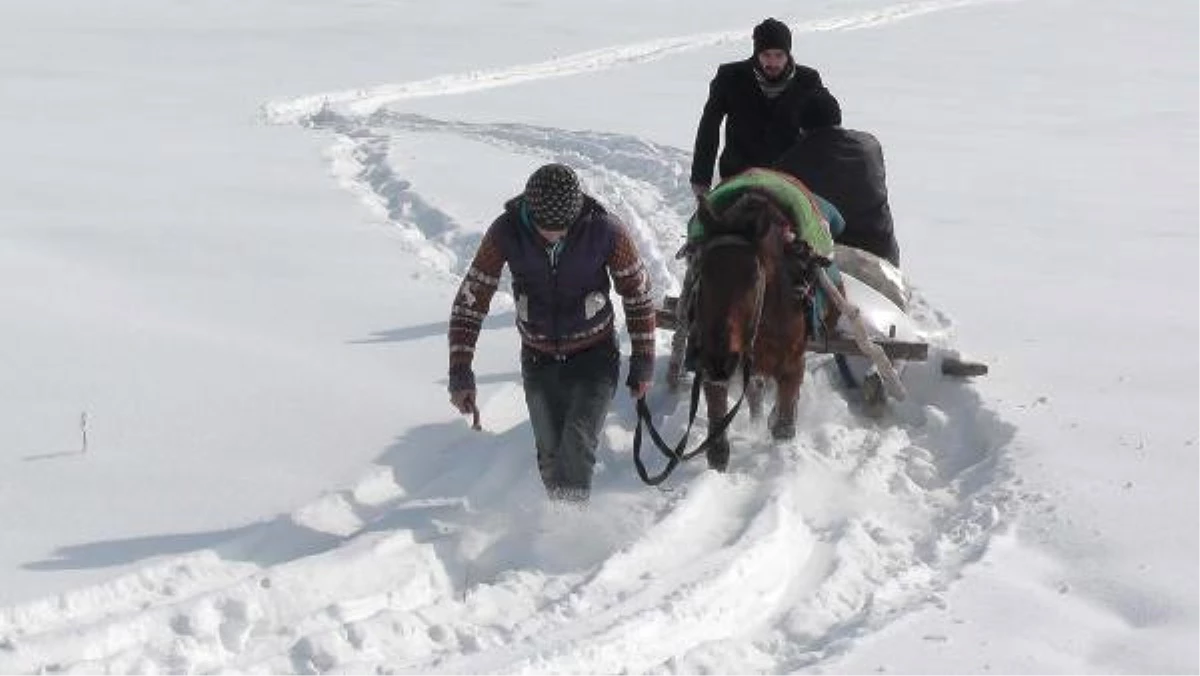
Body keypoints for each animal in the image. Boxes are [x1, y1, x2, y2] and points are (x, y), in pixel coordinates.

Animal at [686, 187, 825, 468]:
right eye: (701, 271)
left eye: (753, 278)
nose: (719, 361)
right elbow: (718, 437)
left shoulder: (793, 365)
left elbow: (784, 426)